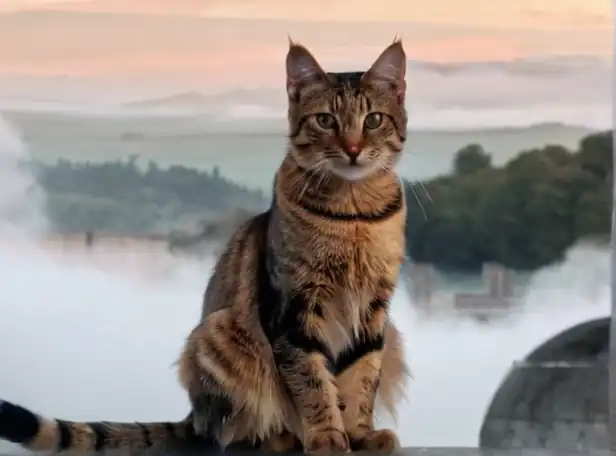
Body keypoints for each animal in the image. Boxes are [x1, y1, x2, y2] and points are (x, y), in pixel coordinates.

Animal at [1, 37, 414, 454]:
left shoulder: (373, 310)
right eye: (326, 120)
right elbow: (312, 382)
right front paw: (327, 436)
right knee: (228, 428)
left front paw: (358, 433)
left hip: (389, 334)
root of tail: (192, 413)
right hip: (221, 335)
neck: (354, 213)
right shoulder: (295, 309)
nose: (353, 148)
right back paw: (279, 437)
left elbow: (361, 377)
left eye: (373, 120)